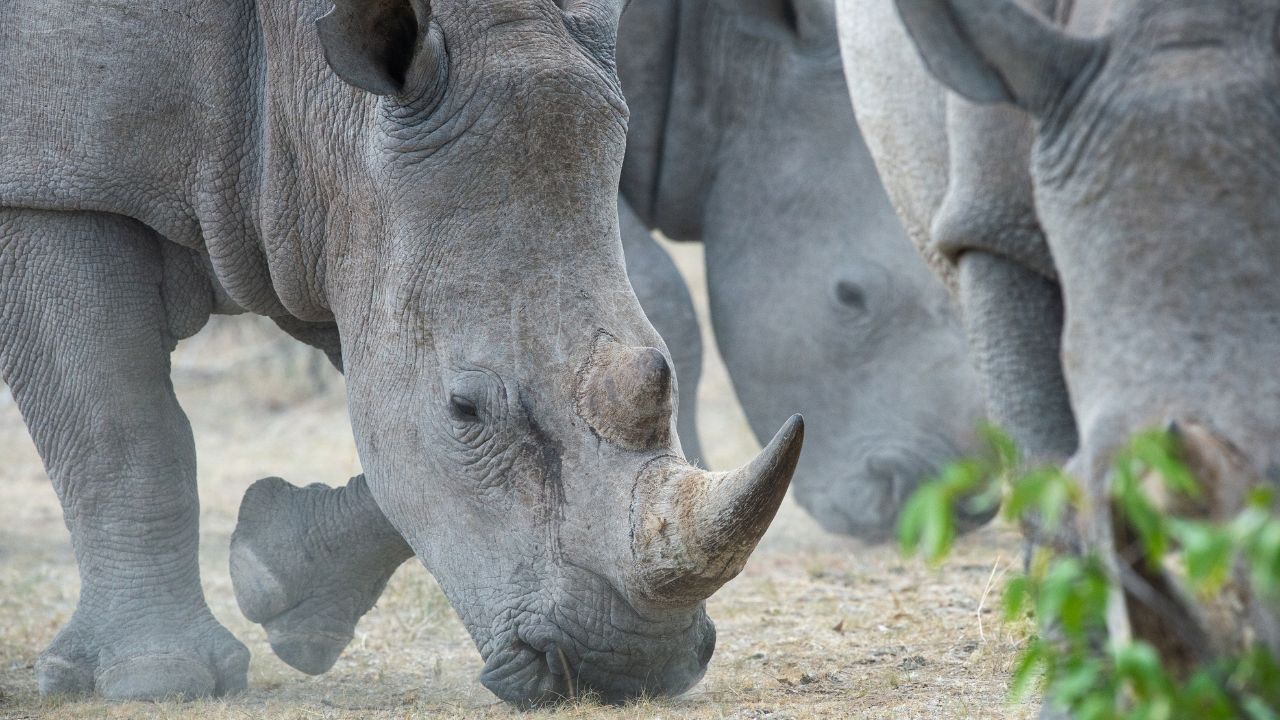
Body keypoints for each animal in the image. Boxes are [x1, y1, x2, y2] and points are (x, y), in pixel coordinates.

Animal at [0, 0, 805, 704]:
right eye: (464, 408)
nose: (630, 667)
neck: (315, 90)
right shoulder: (53, 187)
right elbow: (121, 432)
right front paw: (161, 680)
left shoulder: (327, 215)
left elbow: (393, 445)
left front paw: (275, 579)